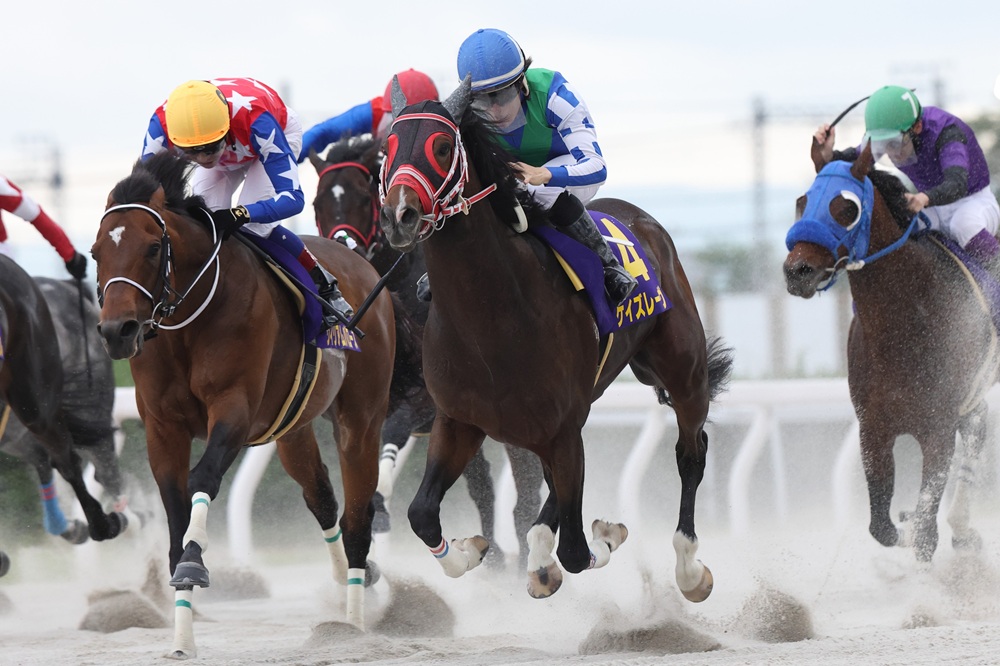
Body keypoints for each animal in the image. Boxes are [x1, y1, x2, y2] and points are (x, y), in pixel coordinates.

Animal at [92, 152, 396, 657]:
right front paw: (182, 635)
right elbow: (174, 501)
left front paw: (193, 563)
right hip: (292, 429)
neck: (188, 322)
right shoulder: (161, 425)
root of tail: (363, 266)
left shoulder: (235, 409)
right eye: (96, 252)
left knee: (357, 513)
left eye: (153, 248)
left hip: (362, 418)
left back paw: (354, 624)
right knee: (322, 497)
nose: (118, 331)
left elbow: (203, 478)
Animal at [310, 134, 543, 569]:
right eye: (317, 203)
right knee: (482, 485)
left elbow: (393, 432)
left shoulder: (425, 402)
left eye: (361, 197)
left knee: (523, 488)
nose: (343, 253)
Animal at [378, 80, 733, 600]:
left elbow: (579, 552)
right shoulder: (459, 421)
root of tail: (642, 221)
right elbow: (421, 514)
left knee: (691, 452)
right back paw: (540, 552)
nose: (399, 215)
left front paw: (607, 534)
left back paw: (688, 568)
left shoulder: (562, 427)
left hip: (682, 372)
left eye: (442, 147)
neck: (488, 316)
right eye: (387, 148)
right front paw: (473, 550)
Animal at [783, 140, 996, 563]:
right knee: (978, 426)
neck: (903, 326)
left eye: (846, 207)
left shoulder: (937, 428)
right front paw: (905, 525)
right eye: (803, 201)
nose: (797, 271)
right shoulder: (873, 428)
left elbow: (926, 532)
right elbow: (881, 527)